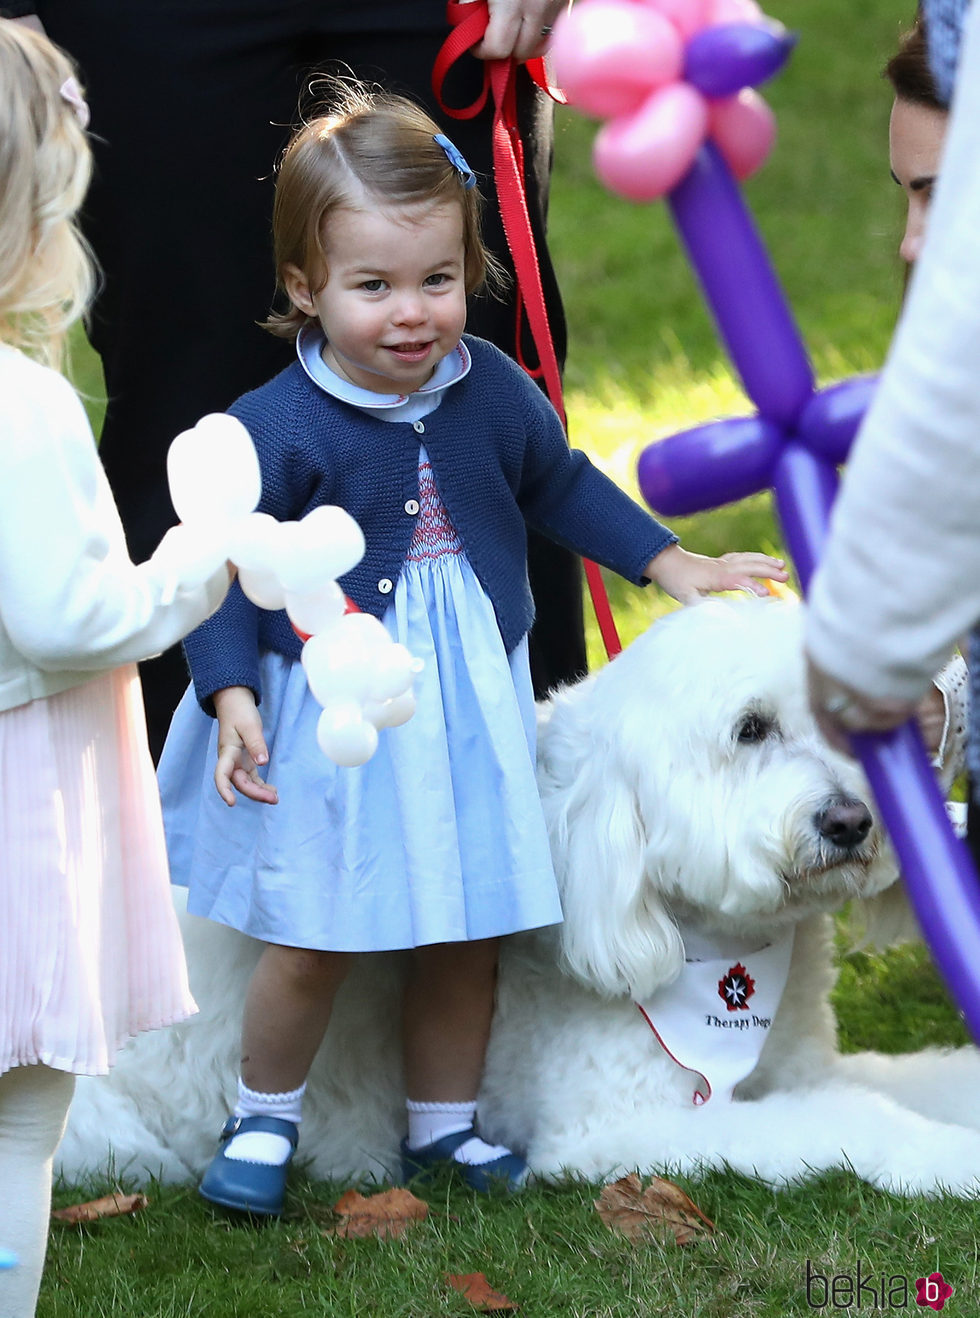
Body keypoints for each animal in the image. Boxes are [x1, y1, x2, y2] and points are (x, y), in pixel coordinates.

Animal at [57, 603, 980, 1202]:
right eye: (751, 729)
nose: (851, 822)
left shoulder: (800, 1065)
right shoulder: (618, 1128)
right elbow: (846, 1120)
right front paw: (950, 1159)